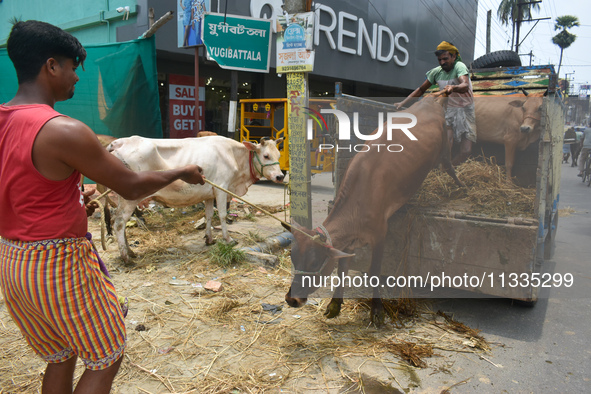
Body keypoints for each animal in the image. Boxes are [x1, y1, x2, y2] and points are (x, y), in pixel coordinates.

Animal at [108, 136, 284, 264]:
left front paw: (209, 239)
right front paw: (228, 239)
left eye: (279, 155)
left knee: (120, 223)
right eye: (266, 155)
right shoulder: (221, 188)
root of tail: (119, 142)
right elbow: (222, 215)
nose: (280, 176)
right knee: (119, 223)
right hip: (130, 198)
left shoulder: (209, 194)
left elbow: (209, 216)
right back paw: (126, 257)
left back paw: (130, 252)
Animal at [284, 97, 464, 324]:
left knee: (449, 166)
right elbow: (342, 270)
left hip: (444, 147)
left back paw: (463, 187)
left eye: (315, 261)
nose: (292, 299)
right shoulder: (348, 243)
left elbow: (374, 272)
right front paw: (334, 305)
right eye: (293, 257)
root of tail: (432, 100)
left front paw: (377, 311)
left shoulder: (380, 233)